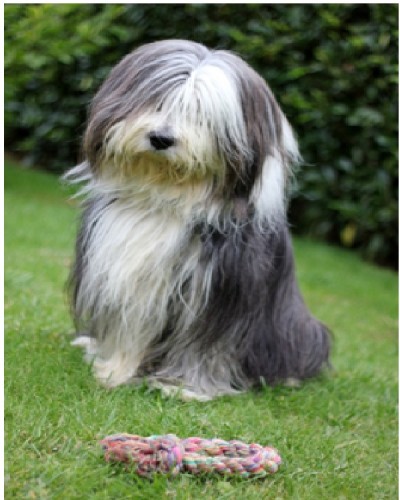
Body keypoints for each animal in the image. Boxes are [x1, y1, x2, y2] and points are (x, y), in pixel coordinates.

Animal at [66, 39, 332, 400]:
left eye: (201, 116)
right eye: (159, 100)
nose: (161, 139)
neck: (166, 199)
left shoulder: (220, 294)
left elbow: (206, 348)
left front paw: (182, 387)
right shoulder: (124, 275)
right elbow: (128, 329)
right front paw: (115, 369)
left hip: (294, 326)